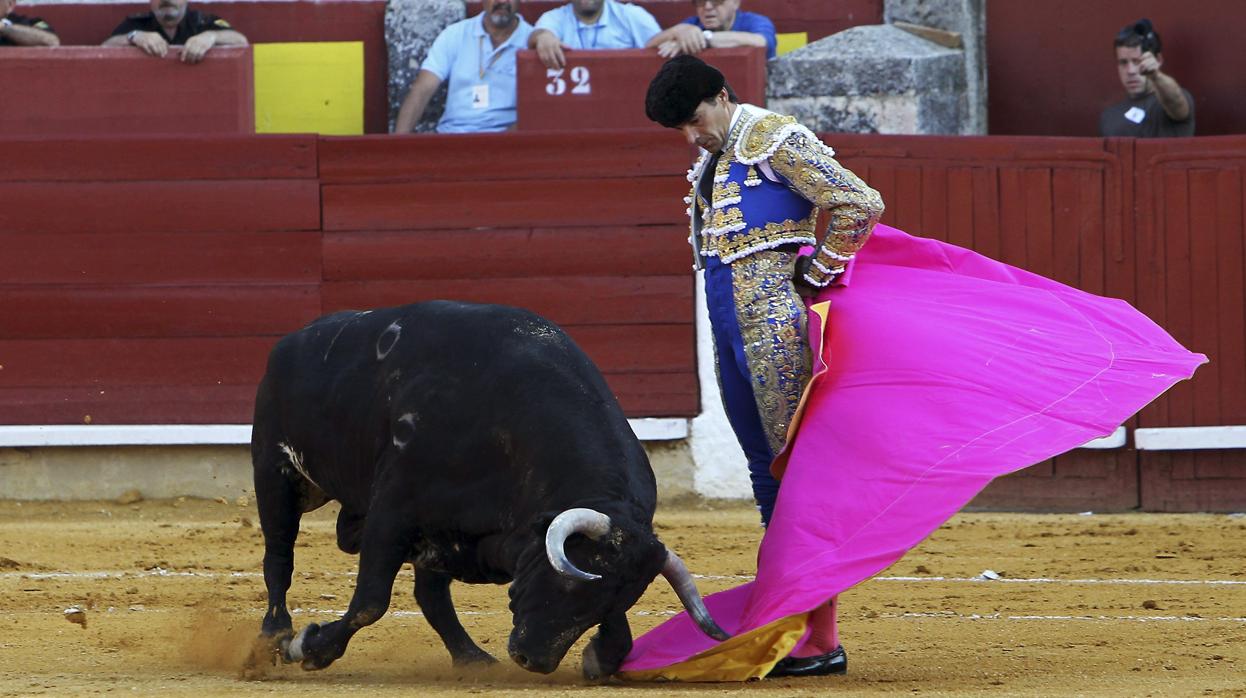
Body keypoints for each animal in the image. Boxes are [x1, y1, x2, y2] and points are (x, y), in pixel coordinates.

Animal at [250, 300, 727, 678]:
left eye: (613, 601)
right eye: (570, 587)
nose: (535, 660)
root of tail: (293, 341)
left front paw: (600, 657)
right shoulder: (393, 510)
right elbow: (371, 600)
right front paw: (310, 648)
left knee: (430, 595)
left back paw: (471, 658)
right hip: (275, 473)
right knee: (278, 559)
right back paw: (271, 641)